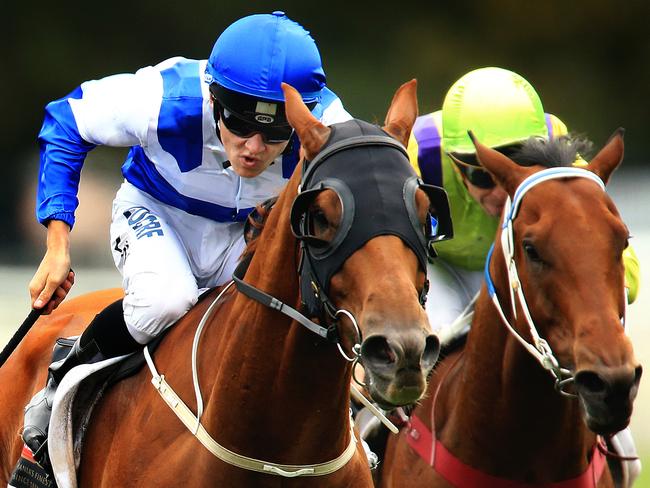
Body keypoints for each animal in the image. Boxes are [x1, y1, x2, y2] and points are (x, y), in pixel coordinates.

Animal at [0, 81, 446, 488]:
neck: (278, 454)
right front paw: (55, 267)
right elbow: (71, 122)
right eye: (319, 216)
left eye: (425, 210)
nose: (402, 350)